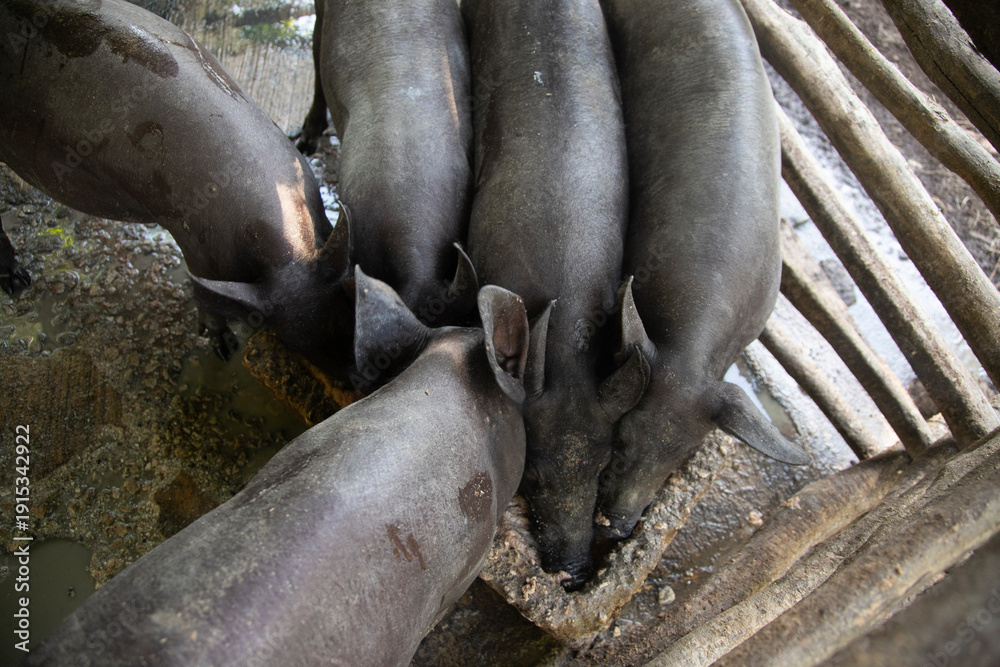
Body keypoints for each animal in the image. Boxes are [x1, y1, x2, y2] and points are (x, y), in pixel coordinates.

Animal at [0, 0, 352, 368]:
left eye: (347, 319)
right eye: (297, 346)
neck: (287, 250)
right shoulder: (195, 245)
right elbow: (205, 299)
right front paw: (224, 349)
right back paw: (17, 282)